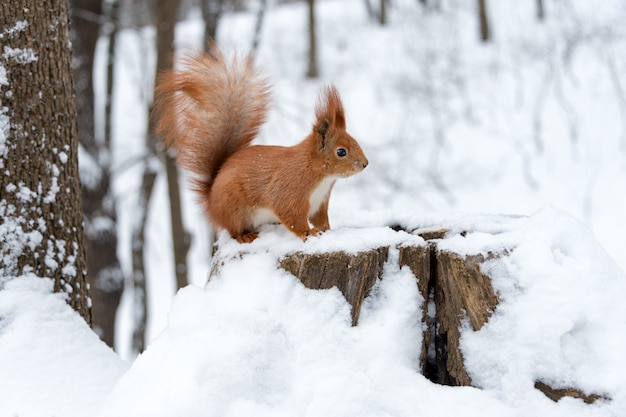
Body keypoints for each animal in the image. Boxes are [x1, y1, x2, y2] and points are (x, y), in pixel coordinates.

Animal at [152, 46, 366, 242]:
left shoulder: (320, 202)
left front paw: (327, 231)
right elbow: (292, 216)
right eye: (341, 152)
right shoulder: (290, 190)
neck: (320, 173)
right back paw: (245, 236)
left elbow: (320, 220)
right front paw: (308, 233)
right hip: (234, 206)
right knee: (233, 231)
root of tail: (212, 204)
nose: (365, 164)